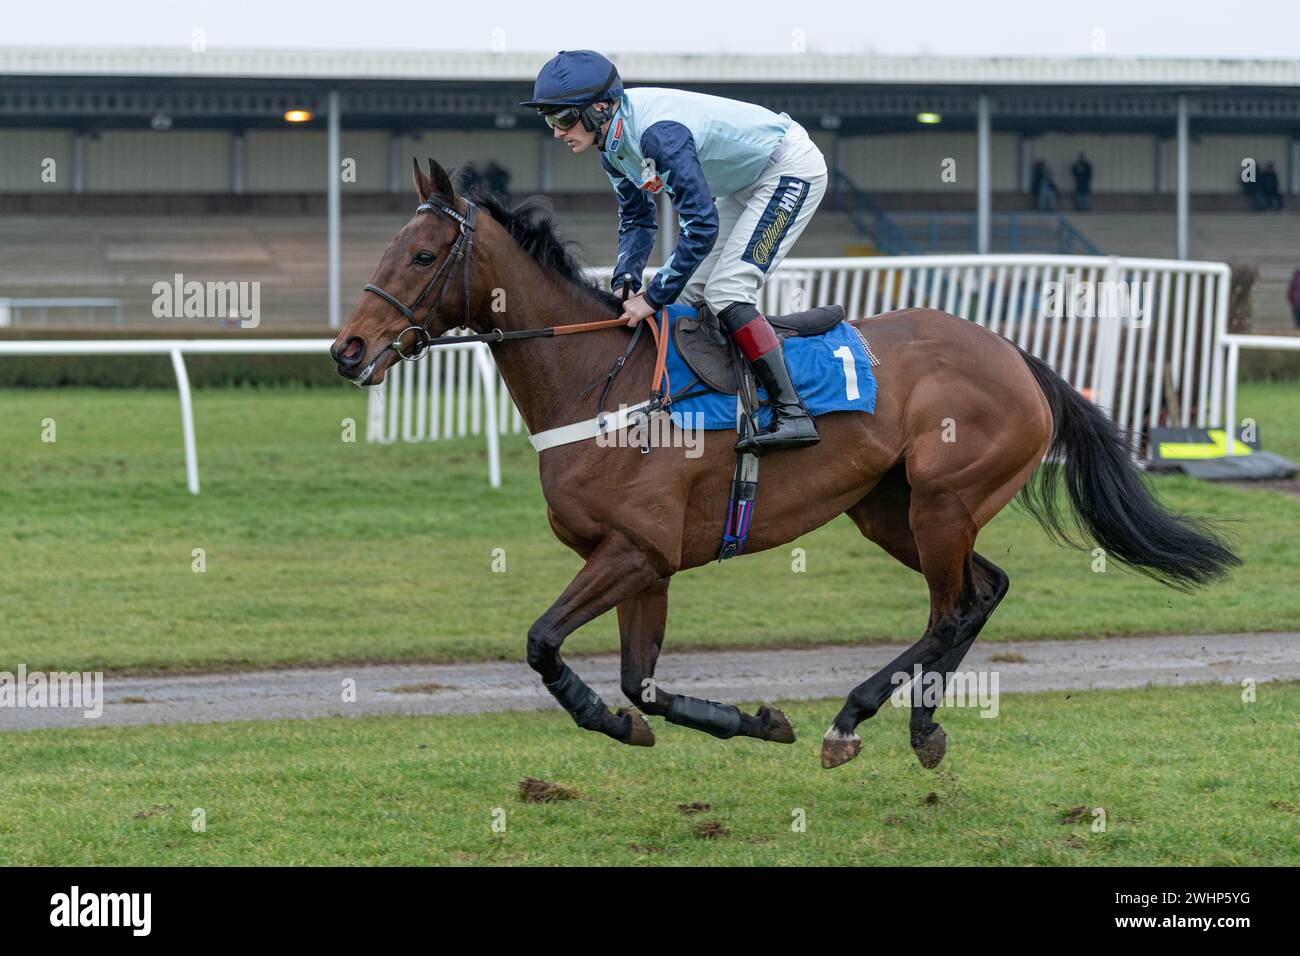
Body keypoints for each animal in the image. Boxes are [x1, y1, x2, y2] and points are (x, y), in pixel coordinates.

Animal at [327, 158, 1237, 770]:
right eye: (389, 247)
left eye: (421, 256)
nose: (348, 350)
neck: (598, 381)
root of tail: (1015, 354)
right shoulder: (644, 563)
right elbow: (640, 684)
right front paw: (746, 722)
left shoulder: (633, 552)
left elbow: (544, 643)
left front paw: (621, 720)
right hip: (889, 509)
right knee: (984, 591)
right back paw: (901, 721)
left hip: (942, 502)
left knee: (951, 609)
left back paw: (868, 720)